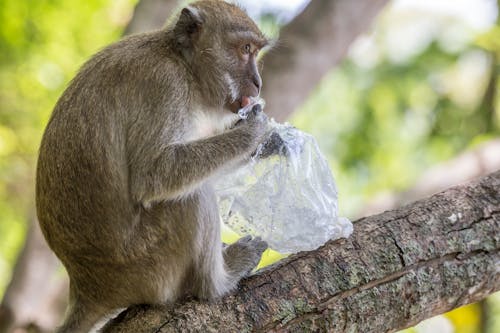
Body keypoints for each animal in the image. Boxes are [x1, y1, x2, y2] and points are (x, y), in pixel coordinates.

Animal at [35, 1, 272, 330]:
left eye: (255, 51)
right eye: (245, 49)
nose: (258, 84)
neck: (182, 63)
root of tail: (88, 288)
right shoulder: (165, 86)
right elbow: (155, 175)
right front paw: (253, 133)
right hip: (151, 265)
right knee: (192, 195)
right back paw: (217, 283)